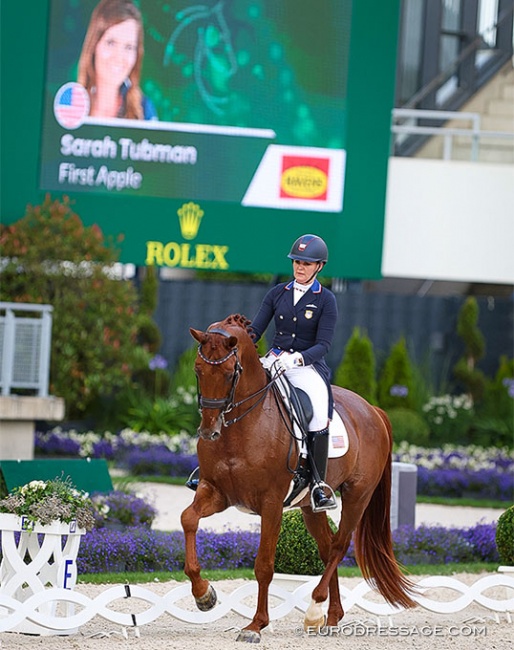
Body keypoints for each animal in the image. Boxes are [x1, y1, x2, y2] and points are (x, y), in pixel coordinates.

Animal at [182, 312, 414, 636]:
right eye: (197, 370)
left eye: (230, 373)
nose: (209, 431)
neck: (242, 426)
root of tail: (372, 410)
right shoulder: (215, 491)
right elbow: (188, 519)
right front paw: (204, 595)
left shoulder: (270, 503)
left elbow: (264, 565)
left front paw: (256, 625)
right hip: (309, 507)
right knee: (327, 548)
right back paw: (331, 616)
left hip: (358, 494)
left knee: (339, 546)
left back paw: (315, 610)